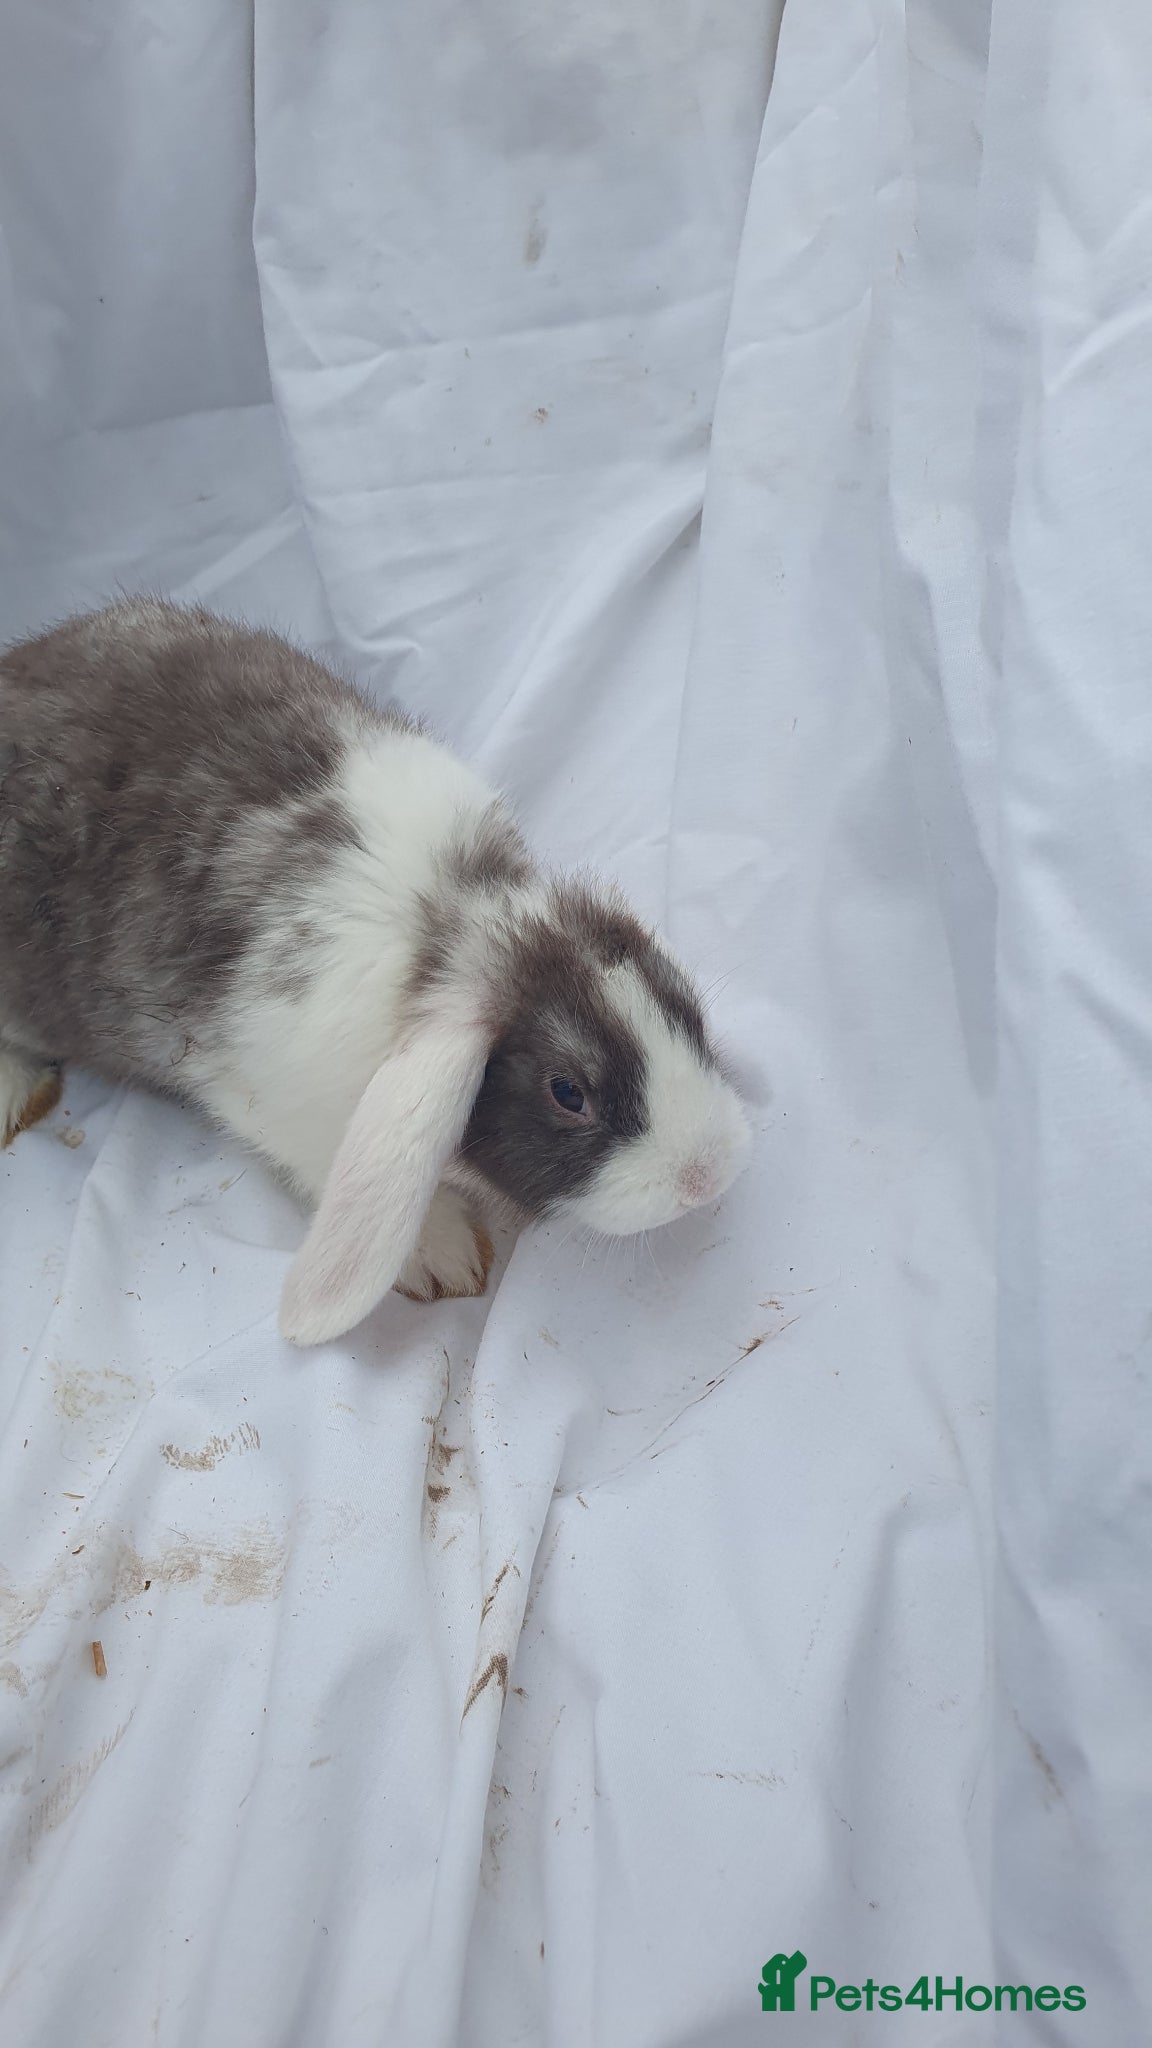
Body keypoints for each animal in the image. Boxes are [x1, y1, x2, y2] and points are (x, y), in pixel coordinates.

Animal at [0, 598, 751, 1345]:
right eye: (568, 1092)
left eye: (684, 1010)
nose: (707, 1174)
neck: (453, 920)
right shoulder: (277, 1103)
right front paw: (442, 1254)